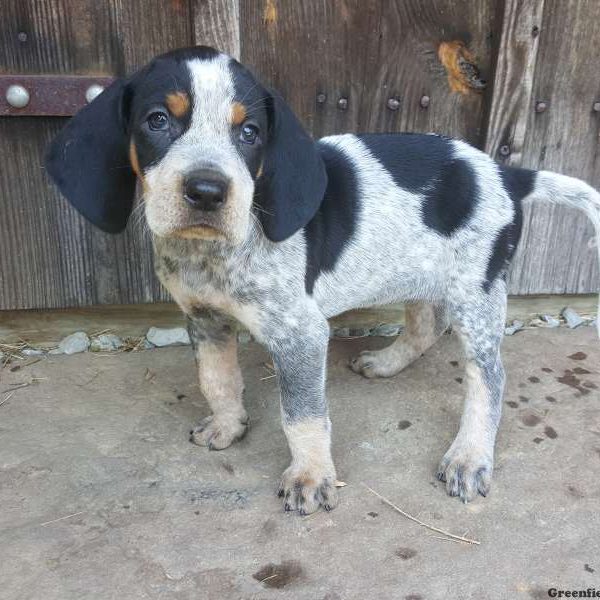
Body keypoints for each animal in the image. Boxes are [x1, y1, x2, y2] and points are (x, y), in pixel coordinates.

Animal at [48, 45, 600, 516]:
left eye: (250, 133)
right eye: (157, 121)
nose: (207, 192)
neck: (210, 255)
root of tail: (507, 175)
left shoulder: (300, 334)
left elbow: (303, 414)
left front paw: (311, 476)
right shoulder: (204, 318)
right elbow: (217, 380)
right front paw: (228, 426)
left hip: (477, 295)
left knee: (489, 378)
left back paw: (469, 456)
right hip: (422, 273)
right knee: (424, 328)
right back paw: (386, 362)